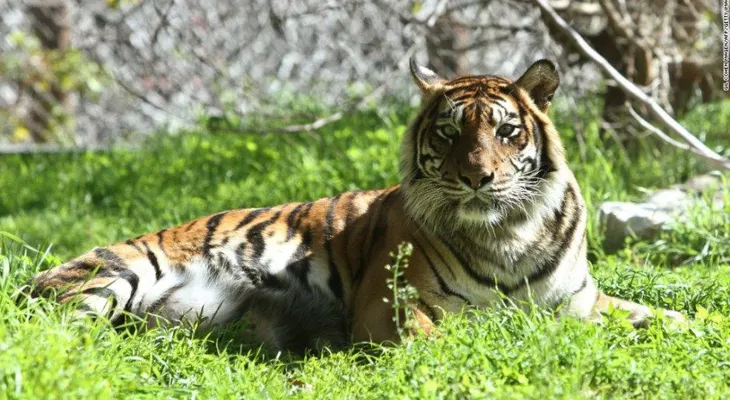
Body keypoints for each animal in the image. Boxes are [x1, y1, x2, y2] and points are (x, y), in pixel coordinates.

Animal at [27, 58, 685, 353]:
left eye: (506, 132)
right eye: (449, 133)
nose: (476, 177)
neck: (509, 233)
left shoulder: (581, 302)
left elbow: (662, 316)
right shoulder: (392, 304)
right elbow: (442, 340)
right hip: (114, 274)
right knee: (46, 334)